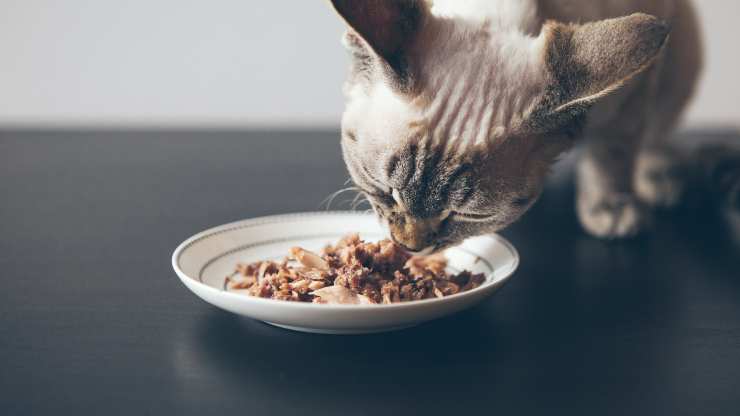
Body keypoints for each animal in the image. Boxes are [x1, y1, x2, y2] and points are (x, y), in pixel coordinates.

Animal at [332, 0, 704, 254]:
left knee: (656, 130)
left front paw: (610, 210)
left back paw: (658, 178)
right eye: (383, 189)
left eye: (468, 215)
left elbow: (613, 152)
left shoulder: (635, 90)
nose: (409, 247)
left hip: (682, 55)